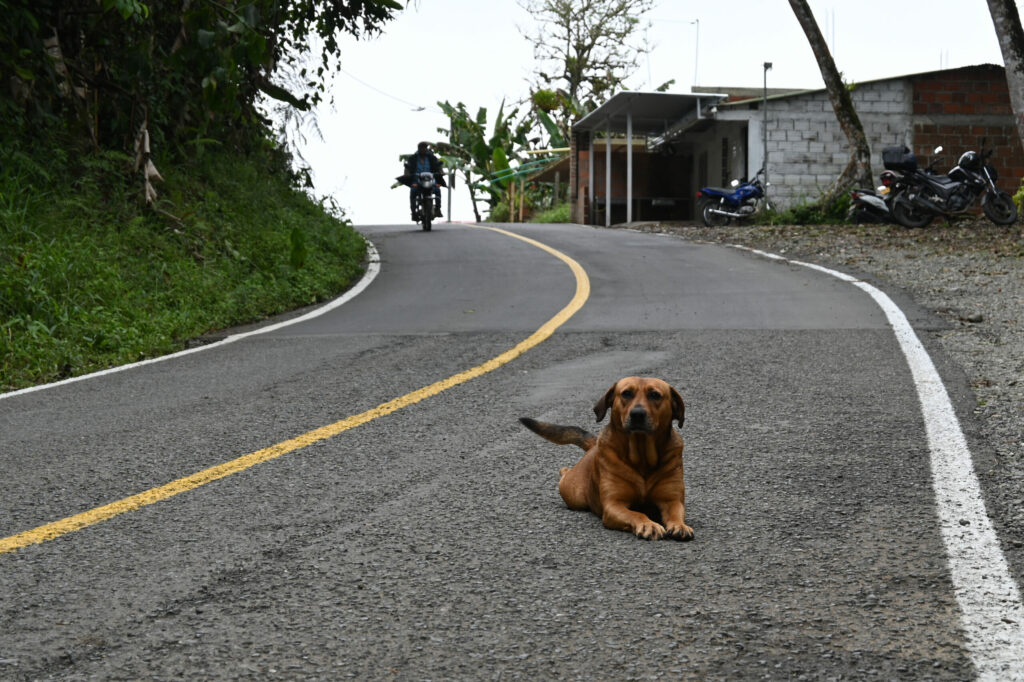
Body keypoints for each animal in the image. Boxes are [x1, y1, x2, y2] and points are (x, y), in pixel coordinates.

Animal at [520, 374, 696, 540]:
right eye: (626, 393)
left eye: (655, 395)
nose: (637, 414)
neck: (642, 456)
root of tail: (593, 447)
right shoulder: (613, 504)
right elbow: (636, 513)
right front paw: (649, 524)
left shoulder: (672, 500)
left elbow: (676, 513)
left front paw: (680, 525)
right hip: (572, 493)